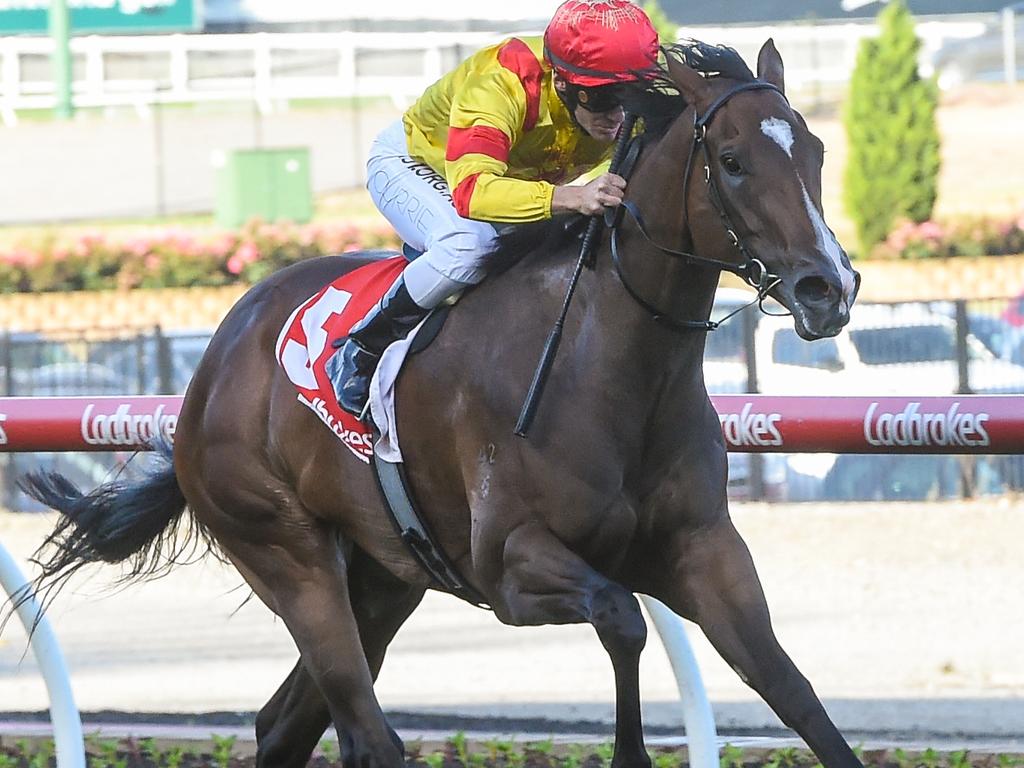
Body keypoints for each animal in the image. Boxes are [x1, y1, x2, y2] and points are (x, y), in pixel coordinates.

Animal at [19, 40, 860, 768]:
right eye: (733, 162)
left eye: (816, 152)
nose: (829, 287)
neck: (608, 362)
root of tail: (210, 370)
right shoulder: (511, 564)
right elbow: (623, 618)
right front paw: (629, 752)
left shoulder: (703, 549)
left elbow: (793, 689)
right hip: (286, 553)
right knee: (366, 732)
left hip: (382, 579)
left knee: (285, 724)